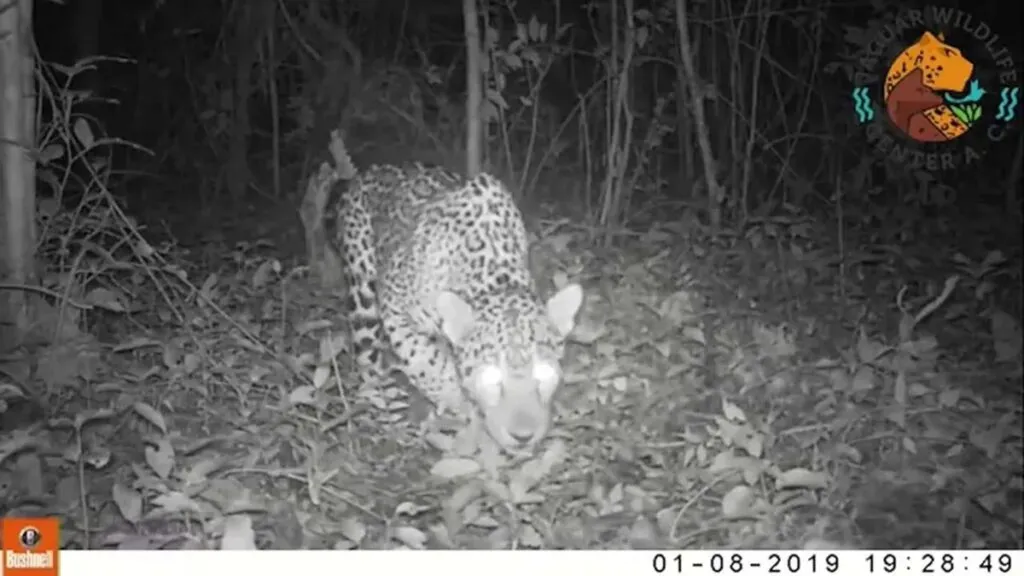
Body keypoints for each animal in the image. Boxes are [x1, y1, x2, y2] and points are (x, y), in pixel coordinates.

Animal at [324, 137, 583, 454]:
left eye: (543, 375)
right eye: (492, 378)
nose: (523, 436)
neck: (496, 276)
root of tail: (370, 170)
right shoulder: (396, 312)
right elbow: (426, 361)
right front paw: (456, 399)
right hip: (361, 284)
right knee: (366, 348)